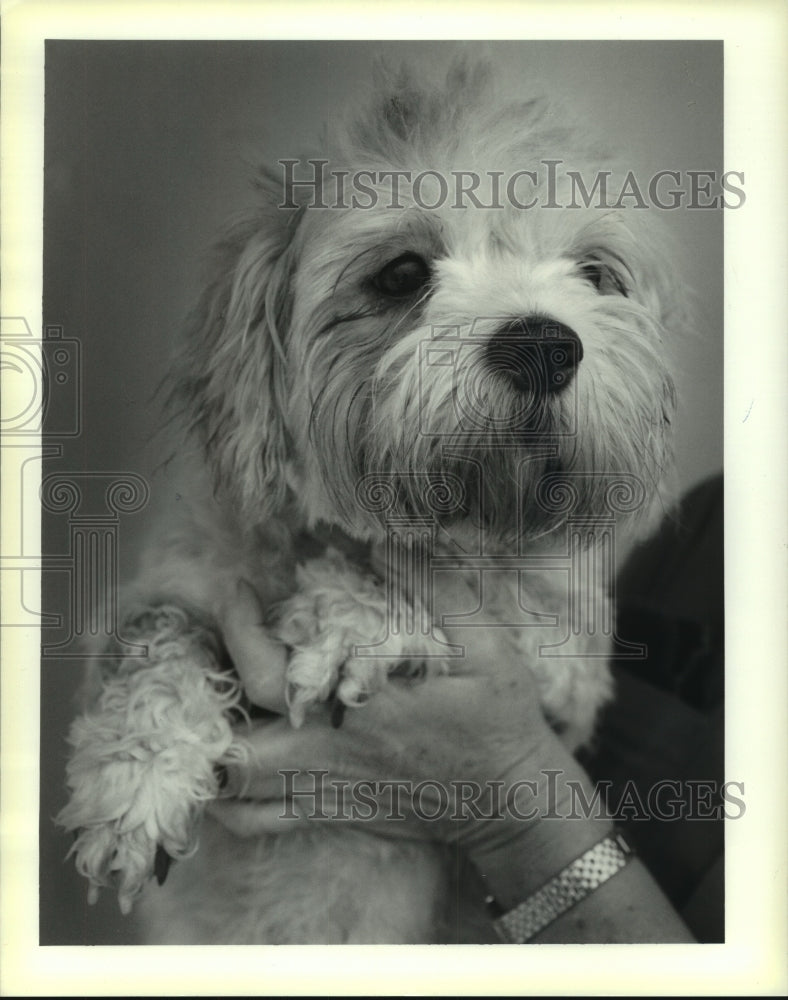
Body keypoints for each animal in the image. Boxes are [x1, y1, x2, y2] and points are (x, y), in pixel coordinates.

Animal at [58, 60, 680, 944]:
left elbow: (495, 593)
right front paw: (136, 782)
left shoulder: (572, 672)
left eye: (595, 274)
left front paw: (353, 616)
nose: (545, 345)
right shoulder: (166, 592)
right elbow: (157, 646)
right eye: (402, 275)